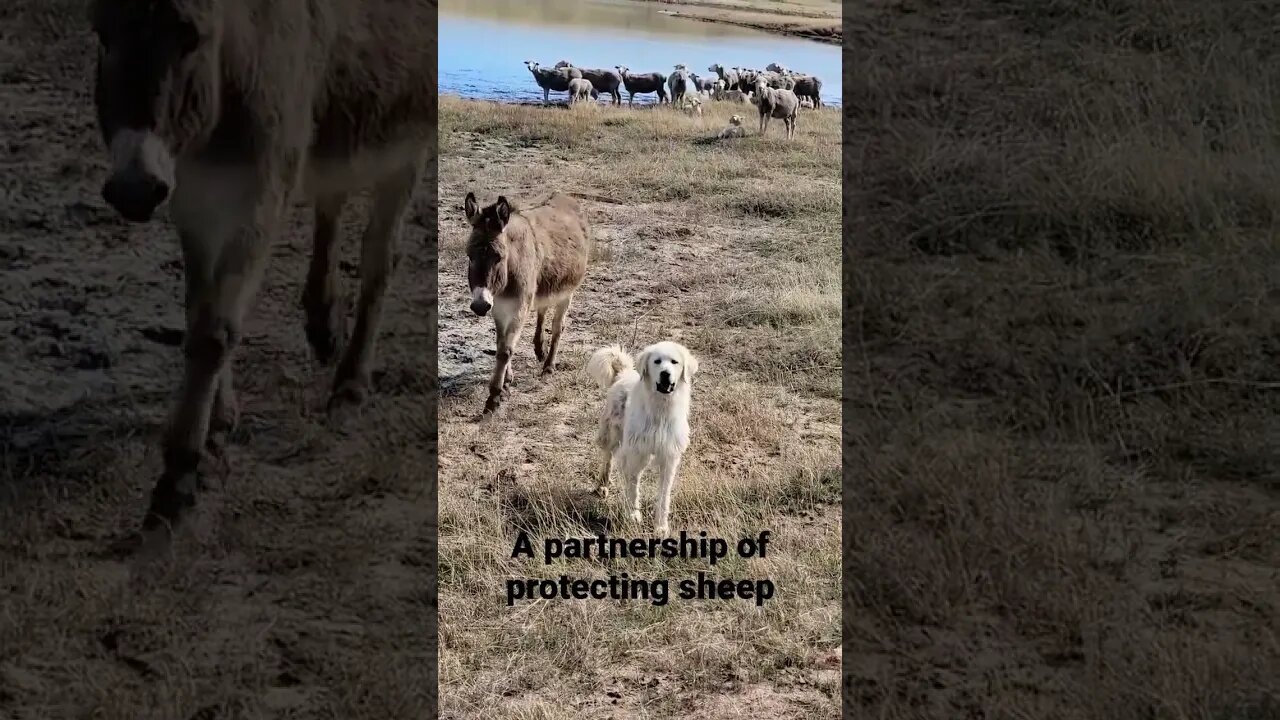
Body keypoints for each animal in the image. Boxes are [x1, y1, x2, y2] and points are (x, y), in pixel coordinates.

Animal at [586, 340, 701, 532]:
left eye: (674, 362)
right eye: (657, 361)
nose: (665, 374)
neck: (660, 410)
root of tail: (624, 372)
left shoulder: (669, 458)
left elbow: (663, 496)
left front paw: (661, 526)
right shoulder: (636, 453)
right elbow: (633, 487)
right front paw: (633, 515)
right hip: (611, 434)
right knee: (607, 457)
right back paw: (602, 484)